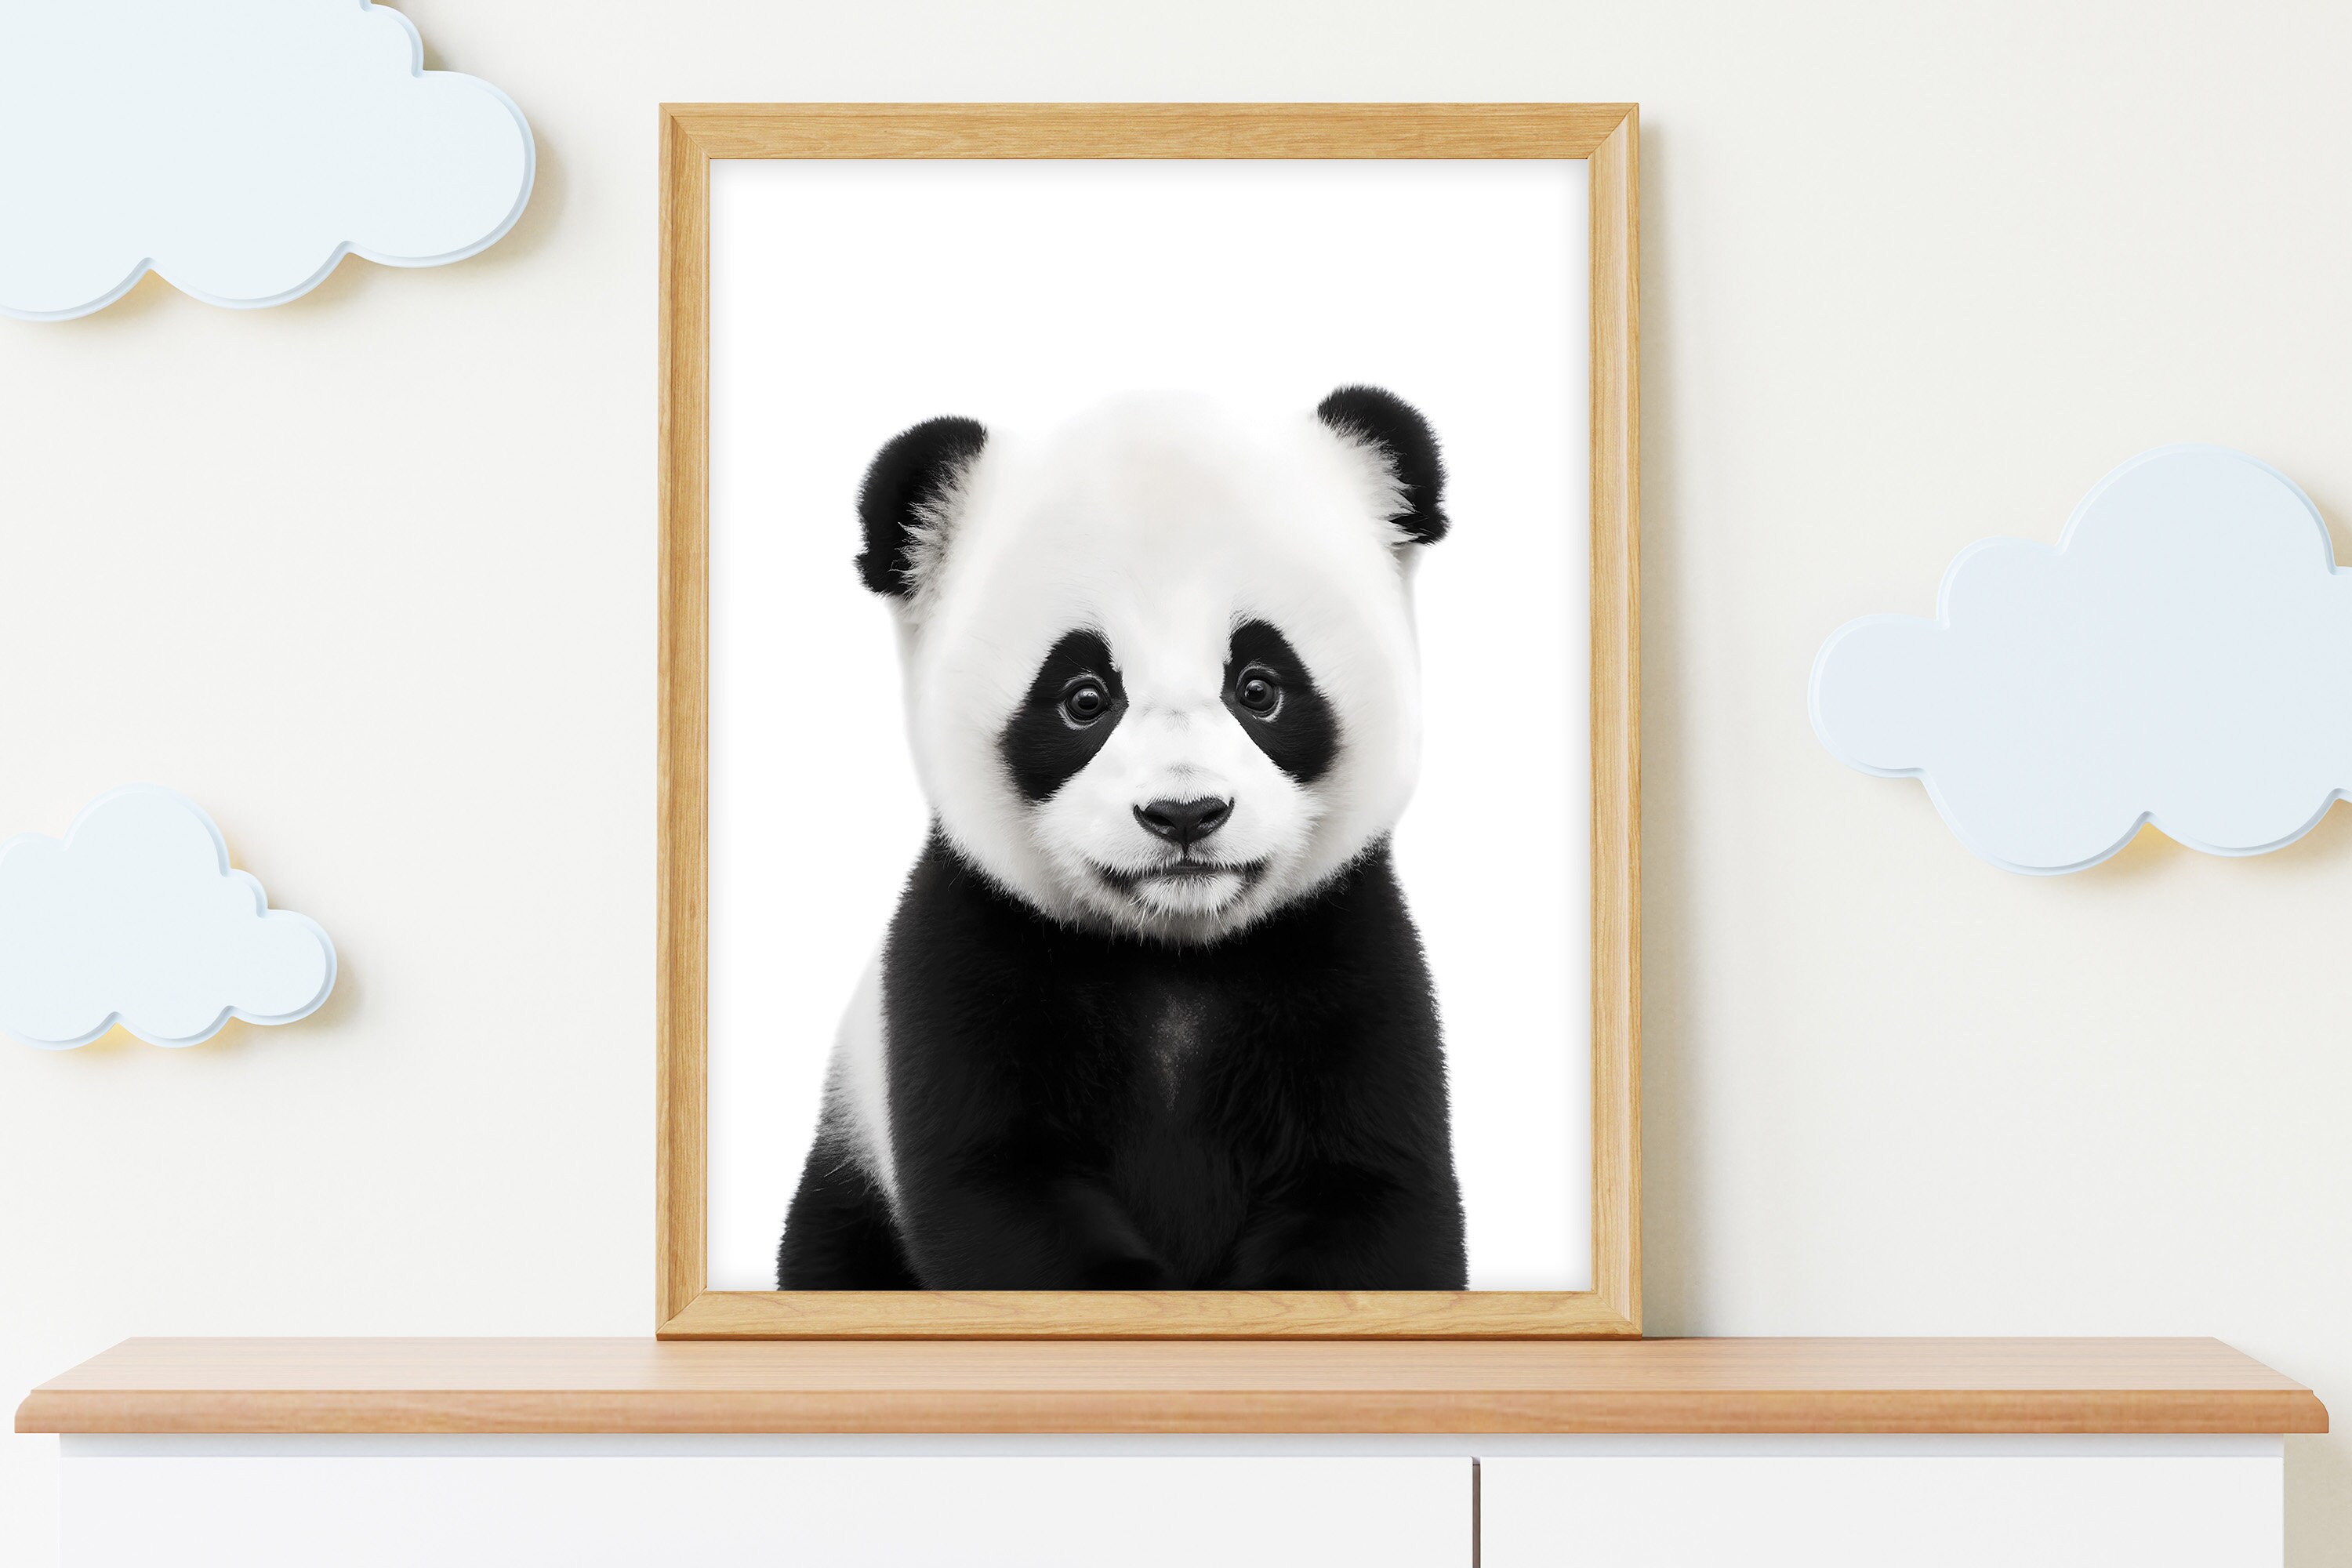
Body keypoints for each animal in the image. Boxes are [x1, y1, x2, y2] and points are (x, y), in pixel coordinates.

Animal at [776, 385, 1468, 1291]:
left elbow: (1373, 1198)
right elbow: (998, 1193)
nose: (1185, 814)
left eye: (1260, 687)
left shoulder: (1346, 961)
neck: (1173, 955)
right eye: (1084, 697)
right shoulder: (965, 966)